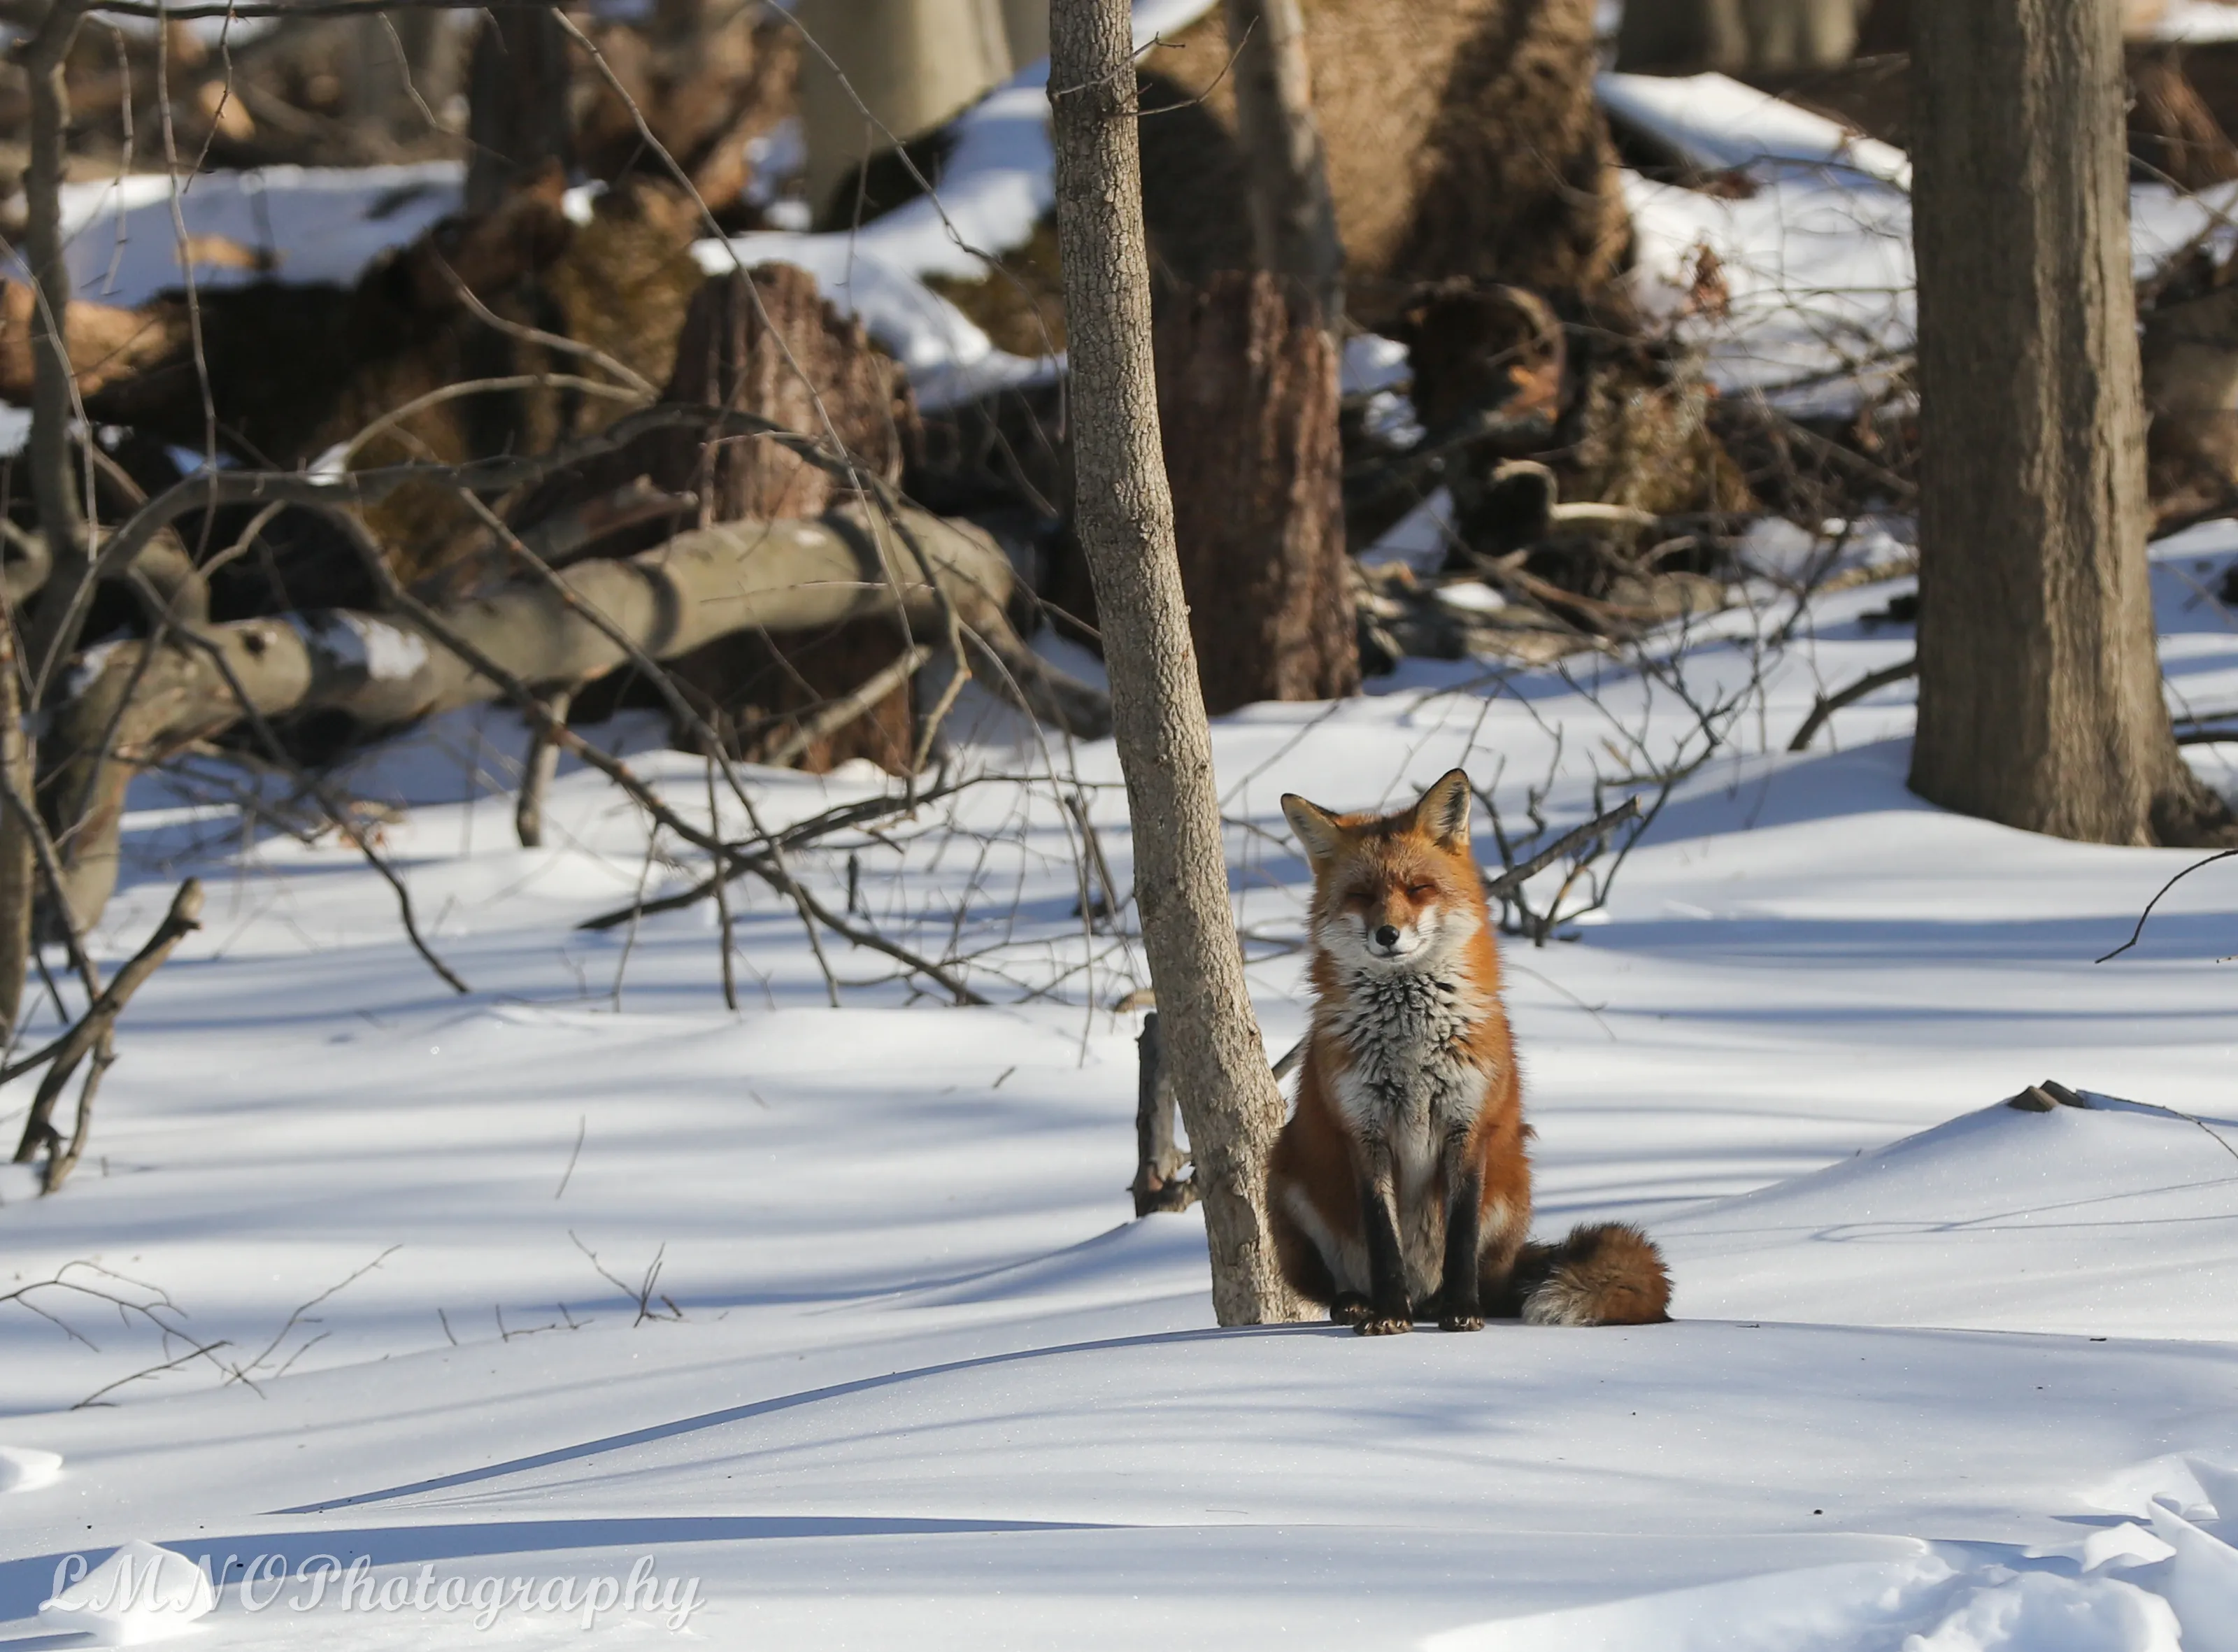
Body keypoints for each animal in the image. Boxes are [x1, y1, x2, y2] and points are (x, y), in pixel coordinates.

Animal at [1268, 769, 1671, 1335]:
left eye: (1418, 889)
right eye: (1362, 895)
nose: (1387, 934)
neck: (1411, 1046)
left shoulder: (1468, 1125)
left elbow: (1459, 1237)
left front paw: (1461, 1311)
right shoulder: (1364, 1133)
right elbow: (1384, 1240)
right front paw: (1388, 1316)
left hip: (1512, 1183)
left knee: (1488, 1279)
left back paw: (1446, 1303)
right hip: (1288, 1175)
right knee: (1335, 1285)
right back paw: (1363, 1304)